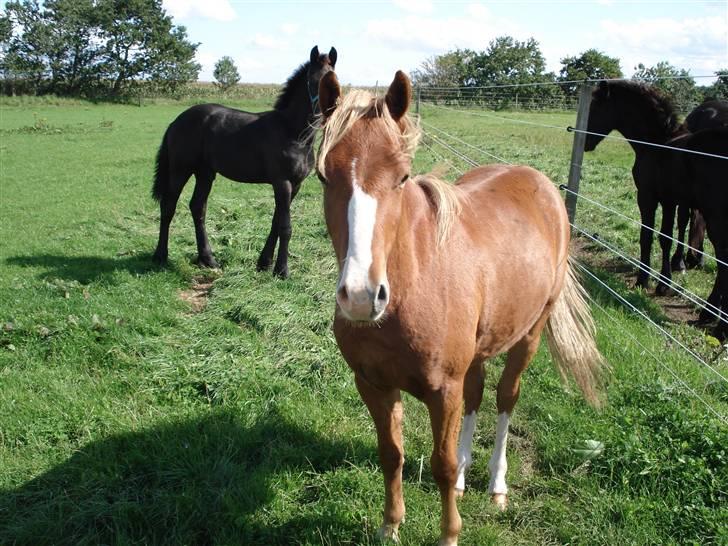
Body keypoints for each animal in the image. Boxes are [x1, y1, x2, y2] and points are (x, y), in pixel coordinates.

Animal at [153, 45, 338, 276]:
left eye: (336, 80)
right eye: (313, 80)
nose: (326, 112)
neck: (293, 133)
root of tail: (176, 121)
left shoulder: (295, 185)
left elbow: (276, 222)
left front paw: (264, 263)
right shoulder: (282, 182)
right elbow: (285, 226)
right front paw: (282, 270)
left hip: (205, 173)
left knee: (198, 207)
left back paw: (208, 259)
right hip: (180, 169)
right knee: (169, 205)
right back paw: (161, 256)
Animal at [316, 69, 604, 544]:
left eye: (402, 176)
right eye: (323, 176)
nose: (360, 296)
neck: (411, 288)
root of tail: (543, 186)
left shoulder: (443, 391)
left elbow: (442, 465)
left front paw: (450, 533)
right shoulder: (373, 385)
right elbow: (391, 454)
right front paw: (390, 525)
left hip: (529, 335)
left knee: (505, 398)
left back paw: (496, 485)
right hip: (481, 347)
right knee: (477, 394)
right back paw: (471, 477)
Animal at [584, 79, 728, 294]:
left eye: (595, 107)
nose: (585, 142)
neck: (658, 143)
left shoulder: (647, 197)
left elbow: (648, 235)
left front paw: (644, 281)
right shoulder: (669, 201)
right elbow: (665, 238)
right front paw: (664, 283)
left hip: (716, 218)